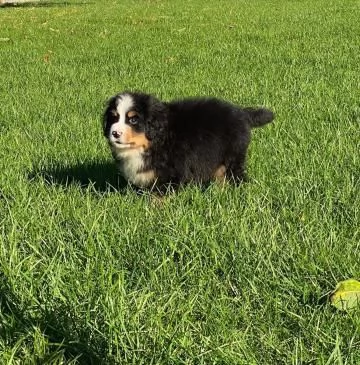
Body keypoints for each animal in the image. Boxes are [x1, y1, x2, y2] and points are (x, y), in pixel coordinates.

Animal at [102, 91, 274, 189]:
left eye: (133, 120)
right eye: (114, 117)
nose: (115, 133)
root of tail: (242, 113)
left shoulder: (170, 171)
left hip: (233, 155)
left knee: (235, 175)